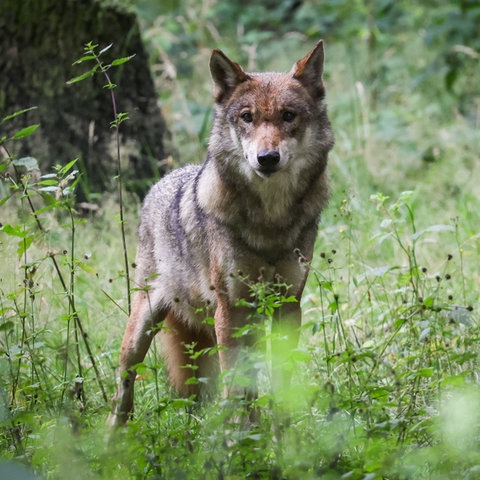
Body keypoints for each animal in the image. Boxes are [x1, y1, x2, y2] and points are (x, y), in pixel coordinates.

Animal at [108, 39, 334, 426]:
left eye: (288, 116)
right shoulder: (231, 309)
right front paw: (239, 435)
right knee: (123, 385)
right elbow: (235, 385)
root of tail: (162, 182)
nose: (267, 158)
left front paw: (282, 433)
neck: (270, 221)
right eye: (247, 117)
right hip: (142, 327)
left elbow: (280, 381)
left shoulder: (288, 305)